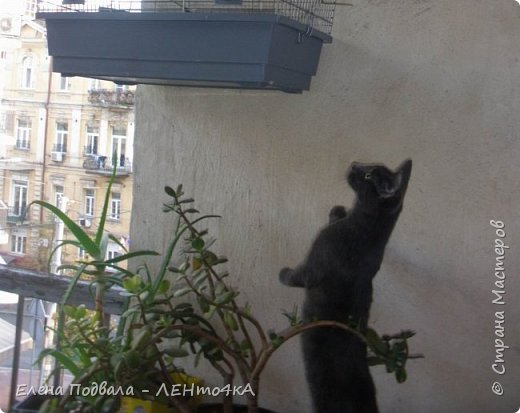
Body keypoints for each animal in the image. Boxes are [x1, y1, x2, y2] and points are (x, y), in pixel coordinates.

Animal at [278, 159, 412, 412]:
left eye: (369, 175)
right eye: (370, 166)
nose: (355, 164)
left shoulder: (315, 262)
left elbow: (298, 277)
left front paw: (283, 274)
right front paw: (337, 211)